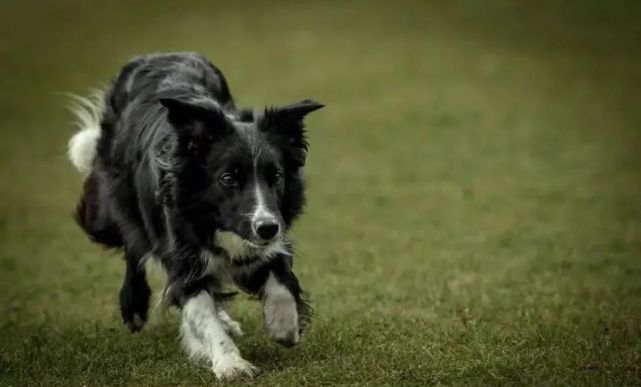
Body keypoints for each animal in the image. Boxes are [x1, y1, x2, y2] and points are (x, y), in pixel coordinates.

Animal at [67, 52, 322, 382]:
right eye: (228, 178)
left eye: (276, 176)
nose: (266, 228)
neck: (212, 219)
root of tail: (157, 55)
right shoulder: (183, 253)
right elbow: (201, 312)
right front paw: (231, 364)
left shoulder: (271, 233)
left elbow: (279, 278)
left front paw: (283, 325)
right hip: (120, 204)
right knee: (133, 247)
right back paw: (134, 306)